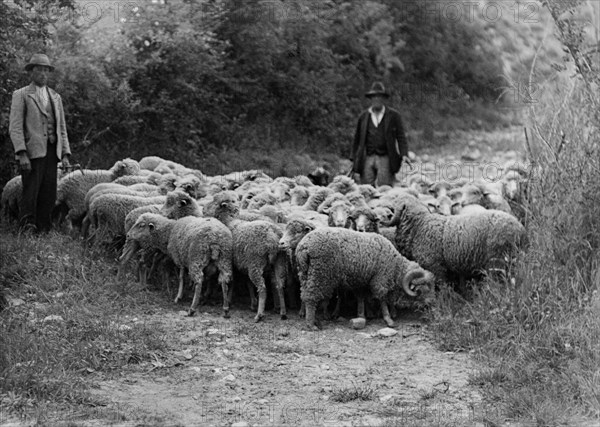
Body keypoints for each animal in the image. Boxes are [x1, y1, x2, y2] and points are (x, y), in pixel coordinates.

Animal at [204, 192, 288, 322]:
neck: (228, 221)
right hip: (279, 262)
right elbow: (246, 283)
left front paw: (227, 305)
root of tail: (272, 234)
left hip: (256, 263)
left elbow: (228, 282)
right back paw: (283, 313)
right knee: (279, 286)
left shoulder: (231, 262)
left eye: (214, 202)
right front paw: (252, 303)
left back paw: (259, 315)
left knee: (262, 288)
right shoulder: (243, 264)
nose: (203, 209)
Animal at [292, 229, 434, 330]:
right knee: (311, 298)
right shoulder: (380, 279)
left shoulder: (361, 281)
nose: (432, 303)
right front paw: (388, 319)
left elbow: (361, 298)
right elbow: (382, 299)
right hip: (320, 273)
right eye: (422, 290)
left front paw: (361, 315)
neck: (396, 267)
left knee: (304, 295)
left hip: (304, 273)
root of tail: (304, 247)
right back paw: (311, 324)